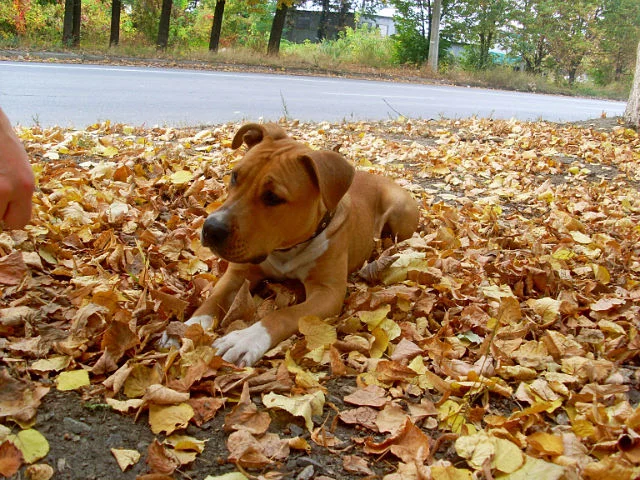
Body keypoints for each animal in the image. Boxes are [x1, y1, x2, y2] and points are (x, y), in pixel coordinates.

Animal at [165, 122, 419, 367]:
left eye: (272, 197)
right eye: (235, 176)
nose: (211, 228)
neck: (286, 249)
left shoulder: (327, 293)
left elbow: (285, 315)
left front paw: (245, 339)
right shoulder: (238, 274)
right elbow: (214, 298)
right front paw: (187, 327)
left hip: (400, 214)